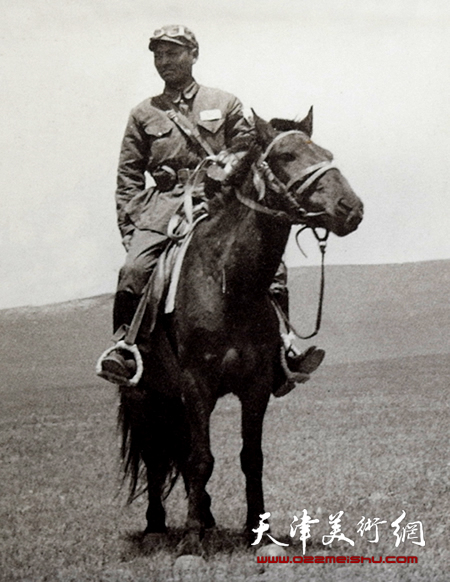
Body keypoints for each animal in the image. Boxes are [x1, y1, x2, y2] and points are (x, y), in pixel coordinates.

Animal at [118, 110, 364, 556]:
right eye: (285, 156)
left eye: (325, 153)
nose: (350, 208)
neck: (229, 283)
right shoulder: (196, 383)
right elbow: (200, 459)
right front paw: (192, 540)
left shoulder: (256, 384)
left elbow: (251, 457)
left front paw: (258, 532)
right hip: (144, 396)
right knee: (156, 456)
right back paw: (157, 526)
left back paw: (207, 518)